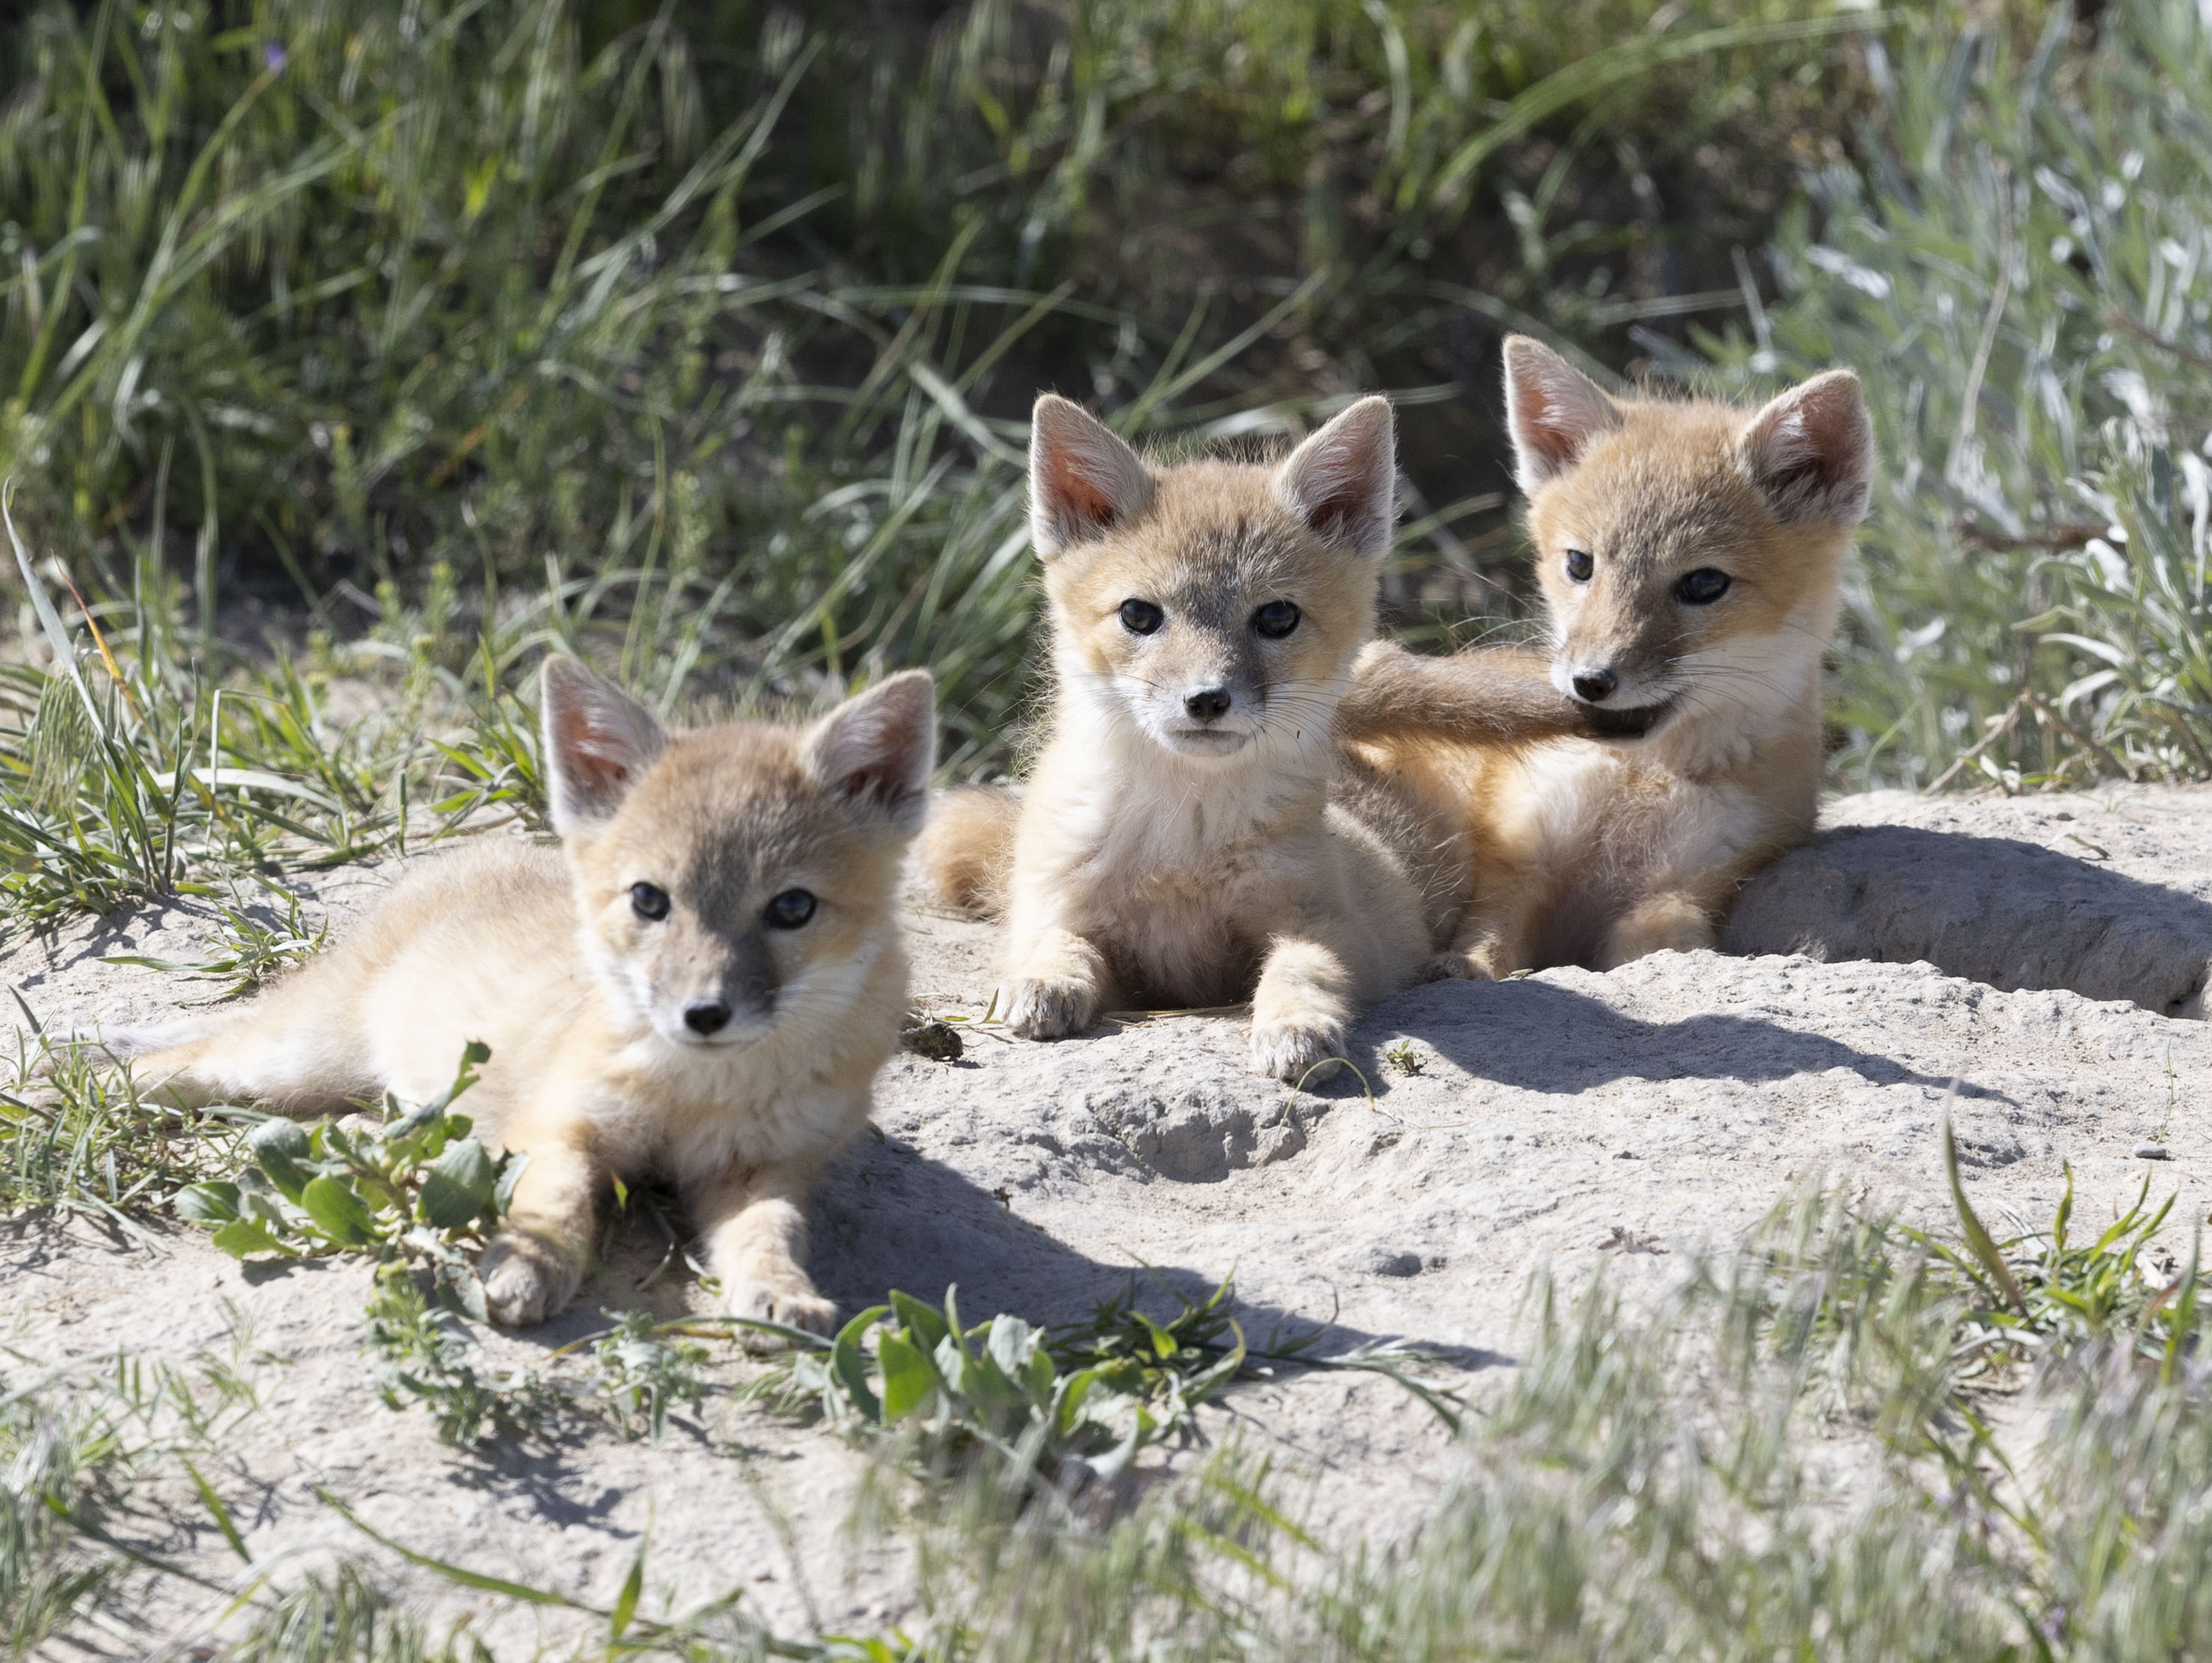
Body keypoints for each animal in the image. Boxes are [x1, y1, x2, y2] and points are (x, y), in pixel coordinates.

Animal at [121, 656, 936, 1336]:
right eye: (649, 899)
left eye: (792, 908)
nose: (704, 1014)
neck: (699, 1093)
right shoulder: (560, 1124)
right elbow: (555, 1201)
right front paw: (527, 1264)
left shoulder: (765, 1168)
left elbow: (770, 1233)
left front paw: (781, 1291)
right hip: (288, 1060)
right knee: (181, 1062)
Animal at [918, 393, 1601, 1082]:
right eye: (1139, 615)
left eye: (1276, 617)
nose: (1206, 700)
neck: (1183, 845)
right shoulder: (1067, 917)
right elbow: (1058, 945)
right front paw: (1043, 981)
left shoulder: (1331, 925)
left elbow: (1302, 968)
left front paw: (1295, 1025)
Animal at [1343, 335, 1873, 978]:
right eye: (1579, 564)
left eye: (1704, 584)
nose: (1590, 681)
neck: (1640, 781)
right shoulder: (1521, 852)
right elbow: (1486, 941)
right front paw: (1461, 966)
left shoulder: (1681, 888)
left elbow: (1664, 950)